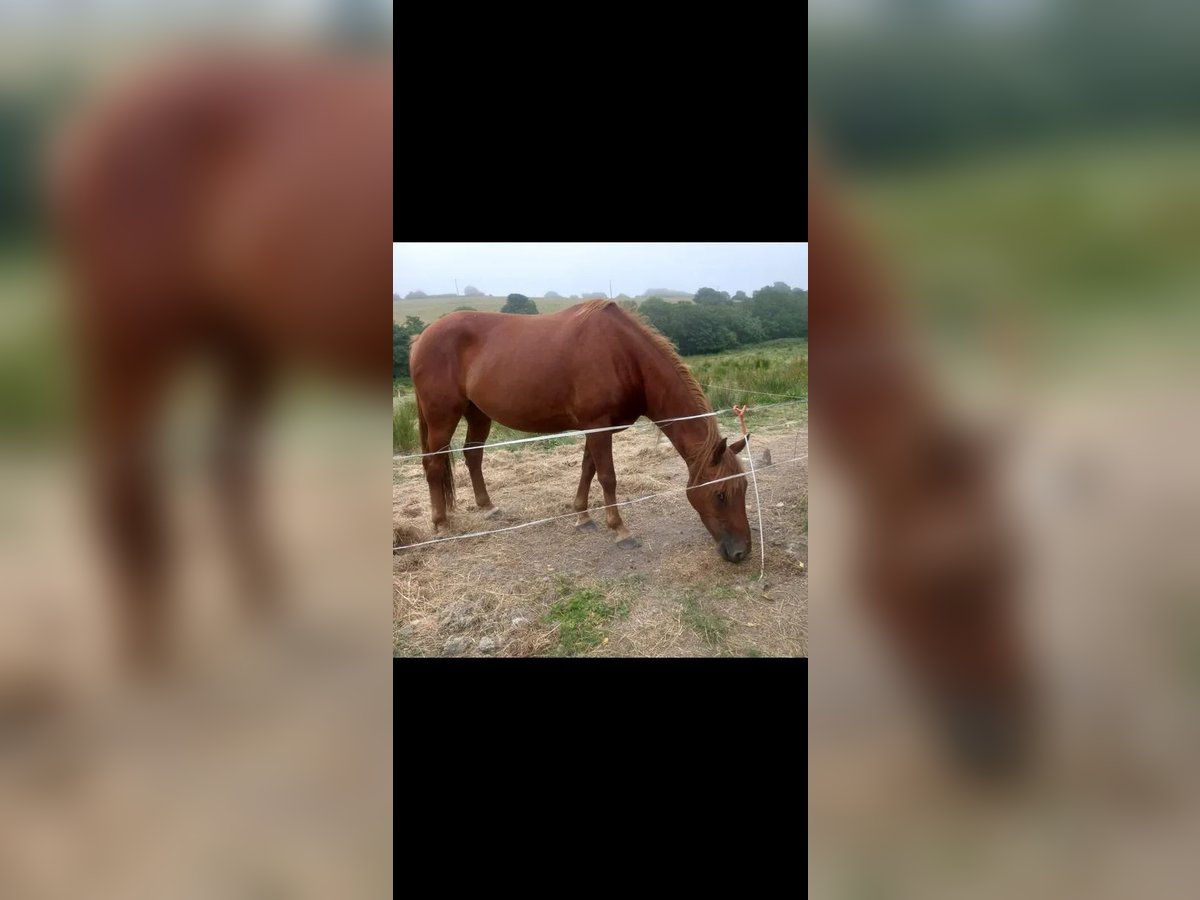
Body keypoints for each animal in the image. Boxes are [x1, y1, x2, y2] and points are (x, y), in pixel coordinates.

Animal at [49, 51, 391, 672]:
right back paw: (147, 636)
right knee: (125, 470)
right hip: (138, 337)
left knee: (224, 464)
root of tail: (89, 132)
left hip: (234, 339)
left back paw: (261, 597)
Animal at [412, 300, 748, 561]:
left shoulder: (596, 428)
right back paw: (440, 523)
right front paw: (620, 530)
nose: (742, 552)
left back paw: (488, 507)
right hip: (442, 417)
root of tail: (421, 338)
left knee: (473, 454)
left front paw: (582, 516)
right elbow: (608, 477)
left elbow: (588, 470)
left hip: (478, 414)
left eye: (744, 488)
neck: (622, 353)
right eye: (719, 494)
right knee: (434, 464)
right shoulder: (598, 427)